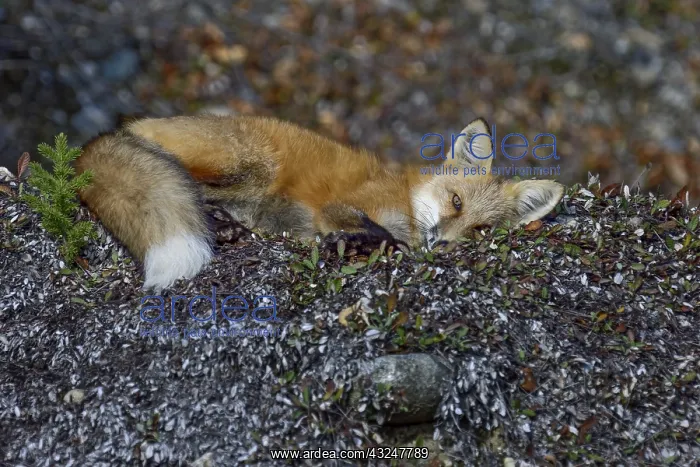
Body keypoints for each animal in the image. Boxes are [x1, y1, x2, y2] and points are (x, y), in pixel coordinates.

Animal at [74, 115, 564, 291]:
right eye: (457, 201)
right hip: (252, 165)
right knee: (188, 186)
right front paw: (360, 244)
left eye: (481, 231)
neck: (405, 200)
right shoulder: (345, 205)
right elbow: (382, 235)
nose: (442, 243)